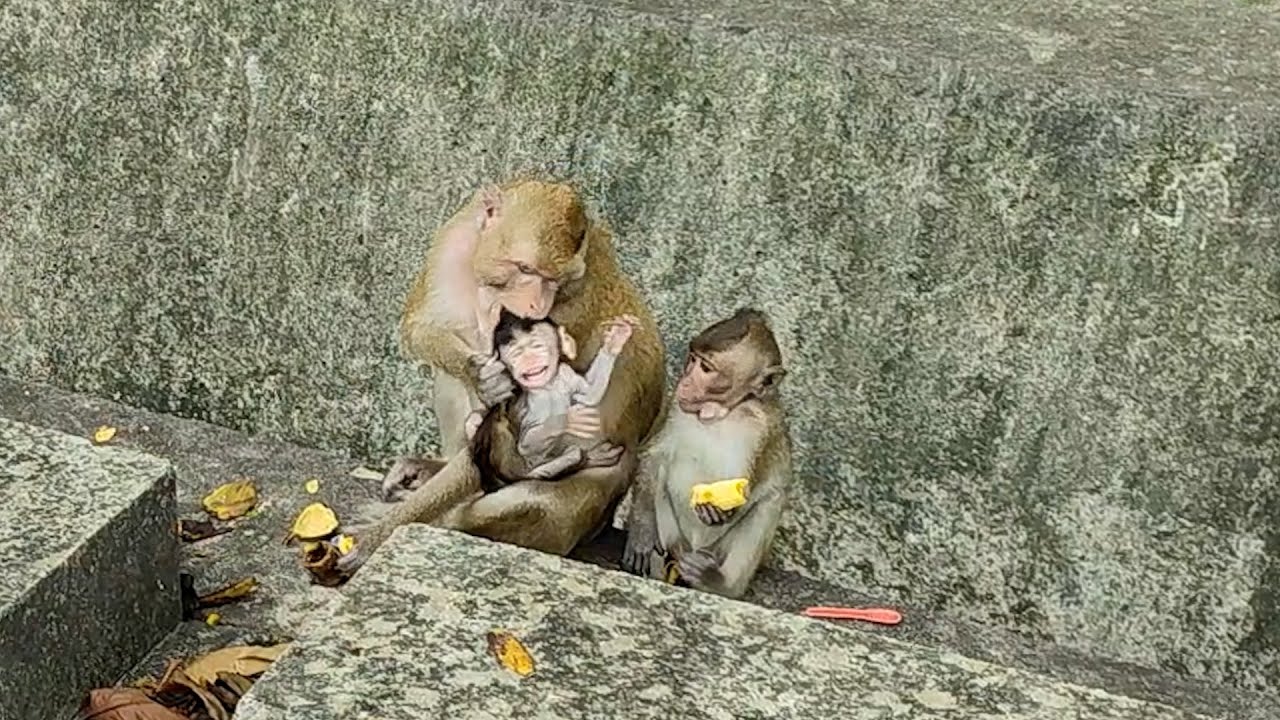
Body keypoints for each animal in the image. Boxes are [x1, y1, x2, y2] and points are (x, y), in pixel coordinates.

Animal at [466, 308, 637, 489]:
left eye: (537, 346)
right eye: (516, 354)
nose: (529, 360)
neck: (547, 387)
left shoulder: (566, 372)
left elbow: (590, 393)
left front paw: (615, 340)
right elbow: (526, 444)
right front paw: (568, 419)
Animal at [619, 308, 791, 600]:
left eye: (707, 368)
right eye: (693, 358)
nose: (686, 381)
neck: (719, 412)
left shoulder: (763, 428)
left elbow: (746, 485)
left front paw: (719, 509)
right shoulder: (676, 407)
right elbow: (653, 458)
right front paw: (642, 530)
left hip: (716, 551)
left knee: (771, 501)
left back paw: (718, 583)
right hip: (677, 539)